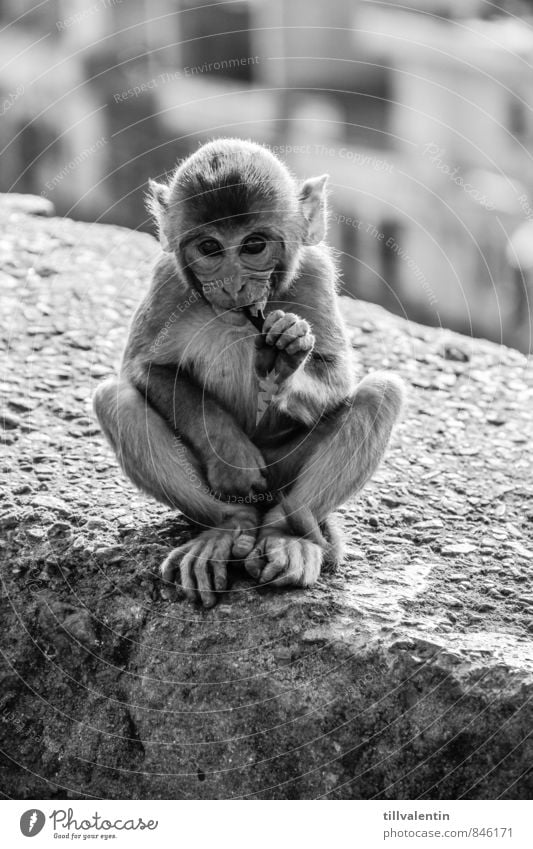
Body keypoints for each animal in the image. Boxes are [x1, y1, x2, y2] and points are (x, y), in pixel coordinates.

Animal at [92, 137, 404, 604]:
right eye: (209, 248)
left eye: (253, 245)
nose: (235, 285)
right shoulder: (167, 280)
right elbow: (147, 368)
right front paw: (232, 452)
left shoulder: (315, 272)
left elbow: (337, 379)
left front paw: (285, 357)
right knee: (115, 400)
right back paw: (227, 528)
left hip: (284, 474)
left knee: (380, 394)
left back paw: (286, 536)